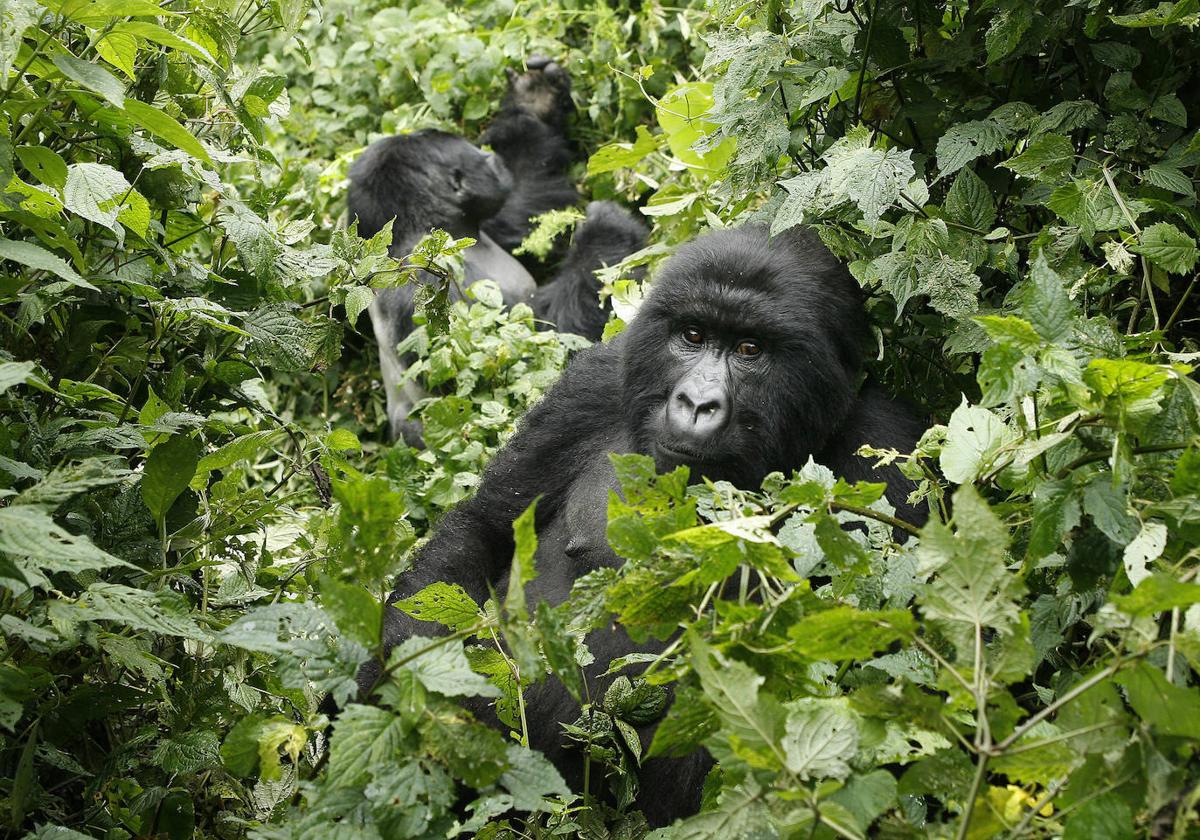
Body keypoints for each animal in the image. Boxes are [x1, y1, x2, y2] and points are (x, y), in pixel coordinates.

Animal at [348, 60, 648, 446]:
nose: (490, 156)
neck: (416, 232)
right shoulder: (433, 286)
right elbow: (536, 355)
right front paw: (607, 231)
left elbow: (521, 211)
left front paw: (534, 99)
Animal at [364, 224, 926, 825]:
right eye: (692, 335)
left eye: (750, 350)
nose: (697, 403)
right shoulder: (593, 385)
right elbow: (482, 532)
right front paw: (410, 694)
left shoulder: (887, 453)